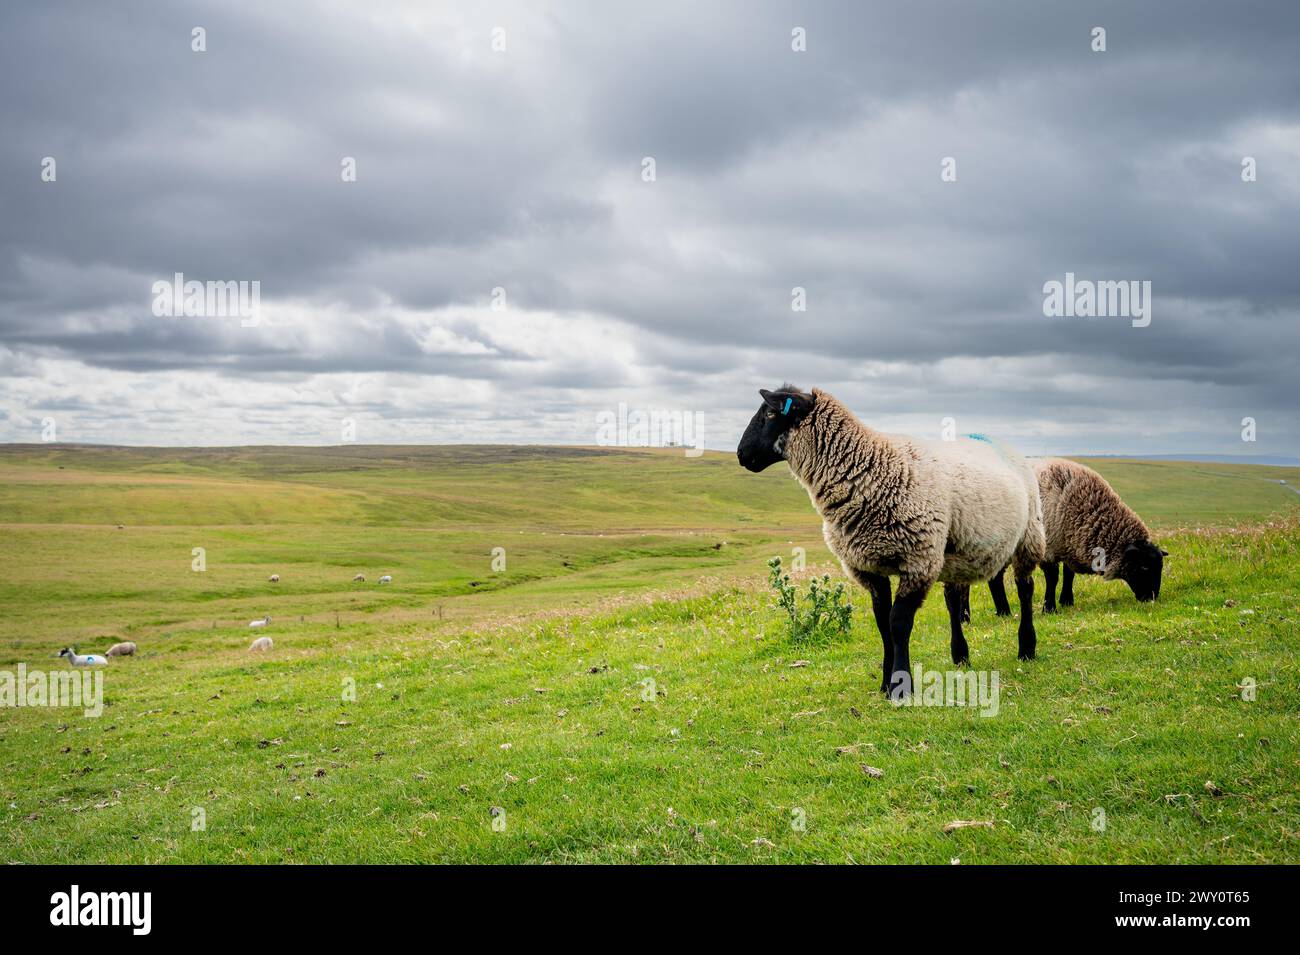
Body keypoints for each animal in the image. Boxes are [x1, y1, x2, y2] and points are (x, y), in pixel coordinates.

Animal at [737, 385, 1045, 696]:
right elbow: (882, 623)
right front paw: (886, 683)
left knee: (1025, 588)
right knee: (952, 599)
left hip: (1029, 534)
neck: (869, 469)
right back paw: (960, 655)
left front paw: (900, 685)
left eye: (771, 413)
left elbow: (898, 623)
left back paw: (1027, 647)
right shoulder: (868, 567)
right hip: (955, 553)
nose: (740, 454)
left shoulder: (918, 560)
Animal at [984, 458, 1166, 612]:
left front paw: (1066, 601)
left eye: (1160, 567)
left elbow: (1068, 574)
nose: (1151, 598)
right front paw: (1049, 608)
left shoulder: (1068, 544)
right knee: (995, 578)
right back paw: (1001, 611)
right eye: (1143, 567)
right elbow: (1053, 578)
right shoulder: (1048, 549)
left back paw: (1003, 612)